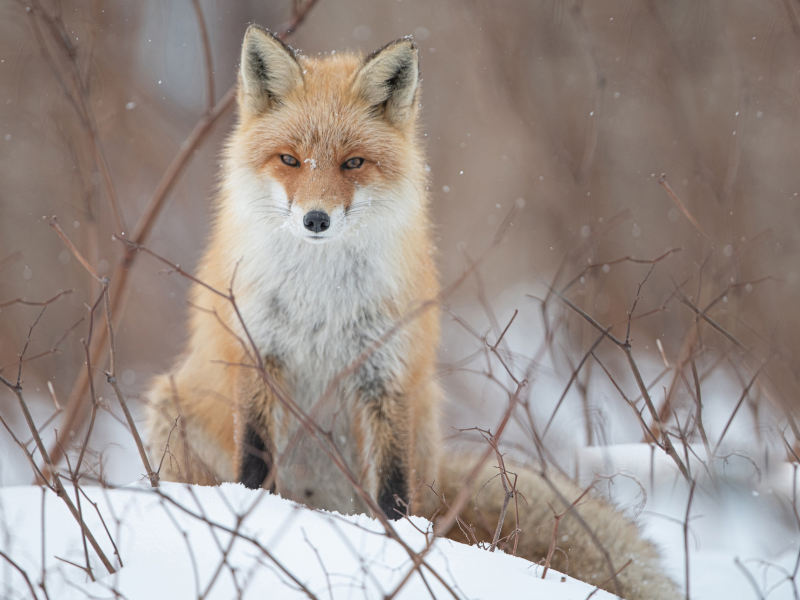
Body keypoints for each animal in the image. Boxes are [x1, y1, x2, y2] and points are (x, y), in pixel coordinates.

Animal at [145, 27, 676, 600]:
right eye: (289, 160)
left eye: (353, 163)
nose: (315, 219)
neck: (320, 300)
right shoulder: (258, 355)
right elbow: (254, 458)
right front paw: (252, 513)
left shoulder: (386, 373)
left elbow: (394, 490)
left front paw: (399, 551)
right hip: (171, 405)